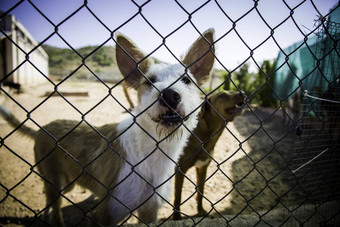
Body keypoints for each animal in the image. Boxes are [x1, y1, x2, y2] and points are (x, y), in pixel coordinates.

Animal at [0, 28, 214, 225]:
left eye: (186, 80)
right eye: (149, 81)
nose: (169, 95)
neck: (154, 148)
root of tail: (42, 129)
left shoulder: (149, 210)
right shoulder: (108, 211)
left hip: (65, 183)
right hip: (55, 182)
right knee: (55, 207)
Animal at [173, 90, 244, 220]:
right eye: (222, 95)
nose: (243, 93)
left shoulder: (202, 168)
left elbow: (200, 191)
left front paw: (200, 210)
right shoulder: (180, 170)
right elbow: (178, 196)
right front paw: (176, 217)